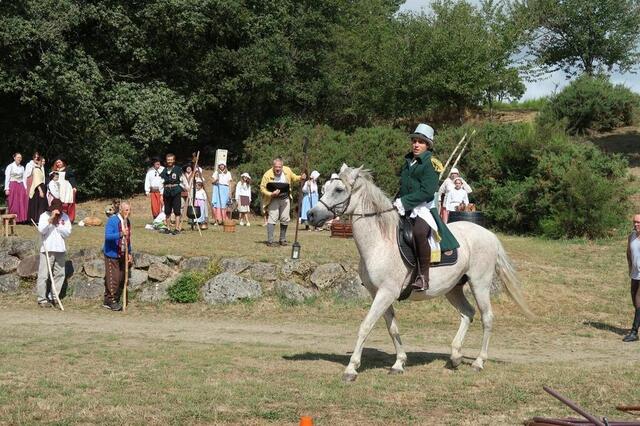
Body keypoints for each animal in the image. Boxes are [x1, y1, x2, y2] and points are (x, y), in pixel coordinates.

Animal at [308, 165, 532, 382]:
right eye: (324, 188)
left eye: (339, 190)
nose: (311, 215)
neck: (380, 241)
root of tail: (489, 235)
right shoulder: (378, 293)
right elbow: (392, 327)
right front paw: (399, 363)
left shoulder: (386, 292)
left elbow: (366, 326)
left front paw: (351, 369)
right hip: (453, 289)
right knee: (468, 313)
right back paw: (455, 356)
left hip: (480, 284)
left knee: (487, 318)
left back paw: (478, 362)